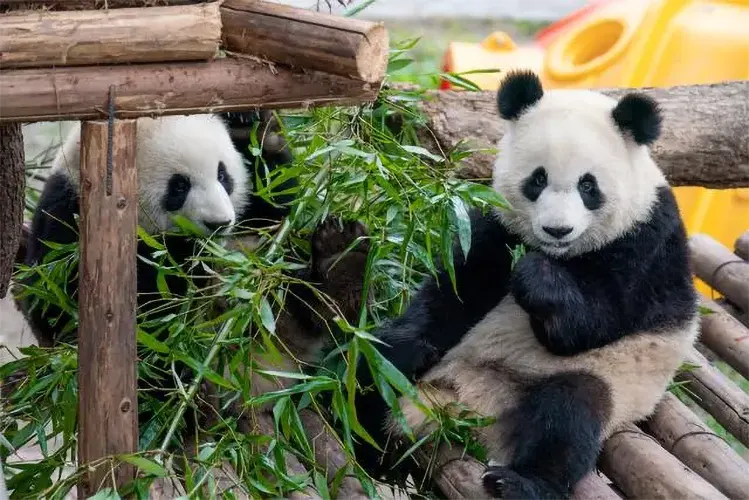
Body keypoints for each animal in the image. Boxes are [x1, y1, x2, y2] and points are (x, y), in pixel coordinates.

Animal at [352, 70, 699, 499]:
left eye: (588, 186)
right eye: (538, 179)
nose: (557, 230)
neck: (563, 254)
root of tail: (460, 408)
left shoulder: (647, 243)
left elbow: (595, 321)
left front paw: (536, 277)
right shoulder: (498, 226)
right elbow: (456, 292)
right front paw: (408, 344)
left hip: (604, 381)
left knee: (569, 413)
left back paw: (520, 482)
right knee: (367, 379)